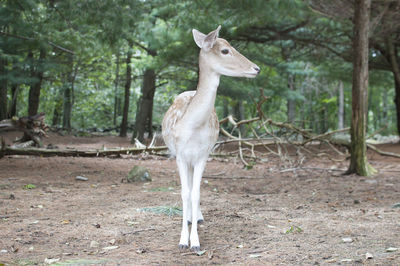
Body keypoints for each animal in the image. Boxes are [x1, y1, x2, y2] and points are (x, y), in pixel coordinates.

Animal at [162, 25, 260, 251]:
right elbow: (184, 192)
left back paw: (196, 217)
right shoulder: (180, 155)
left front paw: (195, 242)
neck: (192, 128)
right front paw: (183, 240)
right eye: (225, 50)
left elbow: (196, 192)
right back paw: (190, 218)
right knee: (188, 187)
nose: (256, 68)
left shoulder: (203, 154)